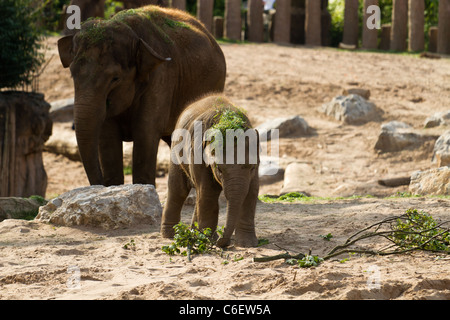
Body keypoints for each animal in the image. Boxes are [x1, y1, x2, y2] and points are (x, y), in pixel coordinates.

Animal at [162, 95, 260, 248]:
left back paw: (194, 233)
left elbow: (252, 191)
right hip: (176, 152)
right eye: (219, 169)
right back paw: (171, 235)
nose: (223, 242)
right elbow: (208, 191)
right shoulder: (197, 153)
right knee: (178, 190)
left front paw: (247, 244)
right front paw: (207, 240)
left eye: (252, 167)